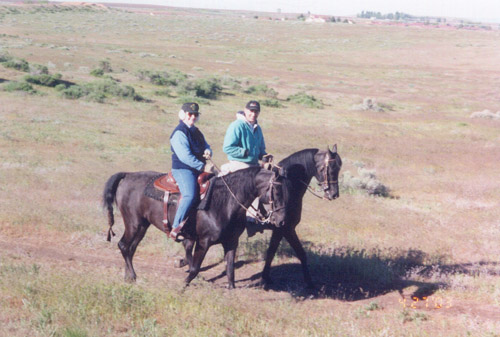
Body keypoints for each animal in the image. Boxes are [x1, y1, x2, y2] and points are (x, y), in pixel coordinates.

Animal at [102, 165, 290, 286]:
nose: (281, 221)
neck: (223, 202)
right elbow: (195, 268)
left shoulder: (231, 242)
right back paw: (133, 276)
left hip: (142, 225)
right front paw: (182, 287)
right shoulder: (203, 242)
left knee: (130, 248)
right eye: (277, 191)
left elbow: (230, 272)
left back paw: (128, 276)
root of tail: (128, 175)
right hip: (133, 223)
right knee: (124, 246)